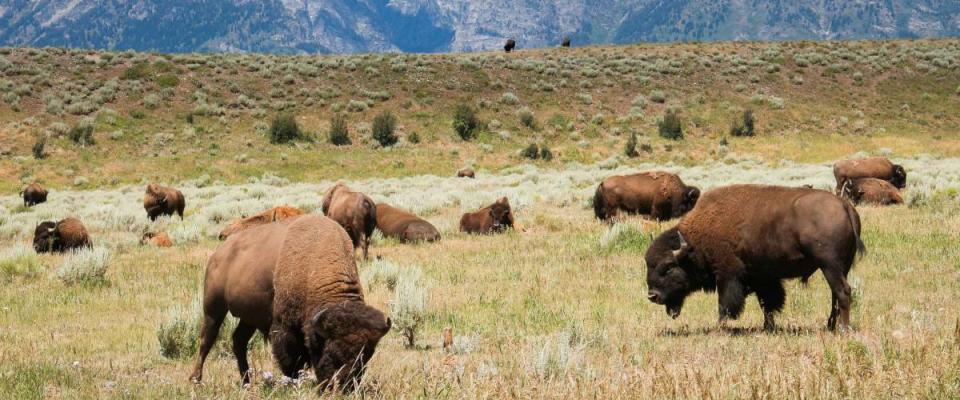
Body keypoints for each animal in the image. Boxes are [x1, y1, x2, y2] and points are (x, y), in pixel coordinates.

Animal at [190, 214, 390, 390]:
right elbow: (290, 359)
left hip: (249, 318)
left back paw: (246, 381)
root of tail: (218, 254)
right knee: (206, 340)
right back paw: (196, 380)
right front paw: (293, 383)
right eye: (331, 351)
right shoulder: (284, 327)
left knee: (238, 341)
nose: (345, 386)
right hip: (214, 308)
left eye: (366, 355)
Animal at [644, 184, 864, 332]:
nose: (652, 296)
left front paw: (720, 328)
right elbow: (767, 303)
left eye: (668, 267)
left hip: (830, 266)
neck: (695, 241)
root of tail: (844, 205)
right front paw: (768, 327)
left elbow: (725, 305)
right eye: (649, 265)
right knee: (836, 295)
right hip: (840, 267)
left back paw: (843, 329)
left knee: (842, 292)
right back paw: (830, 325)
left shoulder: (727, 275)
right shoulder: (762, 278)